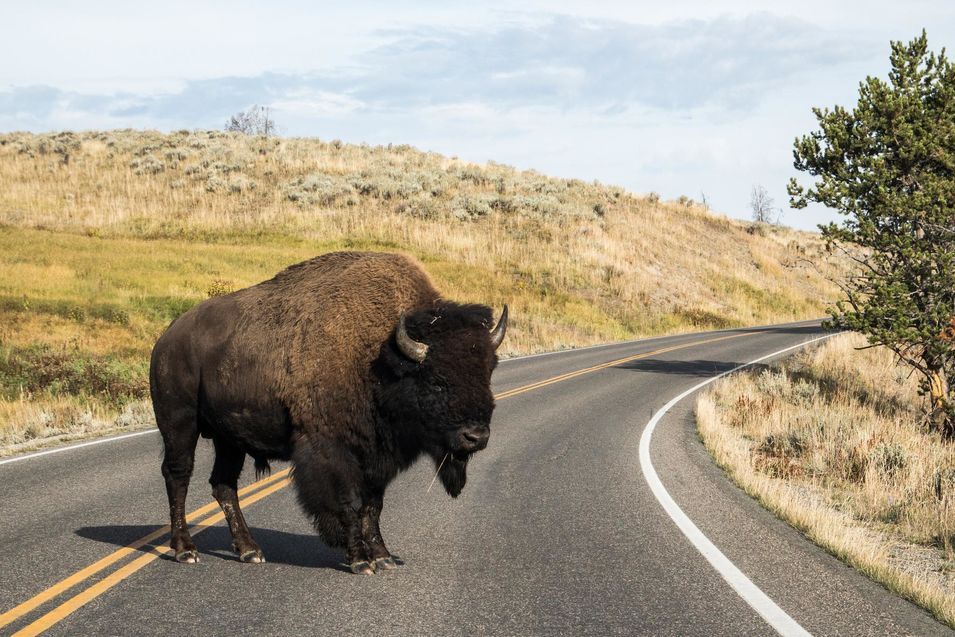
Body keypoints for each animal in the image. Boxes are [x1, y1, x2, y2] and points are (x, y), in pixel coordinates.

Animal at [148, 251, 508, 572]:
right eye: (436, 380)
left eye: (488, 372)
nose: (476, 437)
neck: (381, 355)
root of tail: (167, 337)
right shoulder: (332, 452)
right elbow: (348, 503)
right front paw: (360, 560)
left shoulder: (376, 458)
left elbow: (373, 506)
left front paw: (383, 557)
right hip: (179, 423)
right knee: (178, 475)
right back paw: (185, 550)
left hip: (230, 438)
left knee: (223, 484)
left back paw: (250, 551)